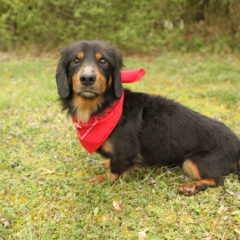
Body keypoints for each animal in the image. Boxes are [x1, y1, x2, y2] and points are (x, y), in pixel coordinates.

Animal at [56, 40, 240, 195]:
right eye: (75, 60)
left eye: (103, 61)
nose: (87, 78)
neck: (103, 109)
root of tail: (237, 145)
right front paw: (106, 163)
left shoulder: (125, 151)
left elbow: (115, 170)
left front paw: (101, 179)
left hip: (192, 161)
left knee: (218, 180)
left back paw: (192, 186)